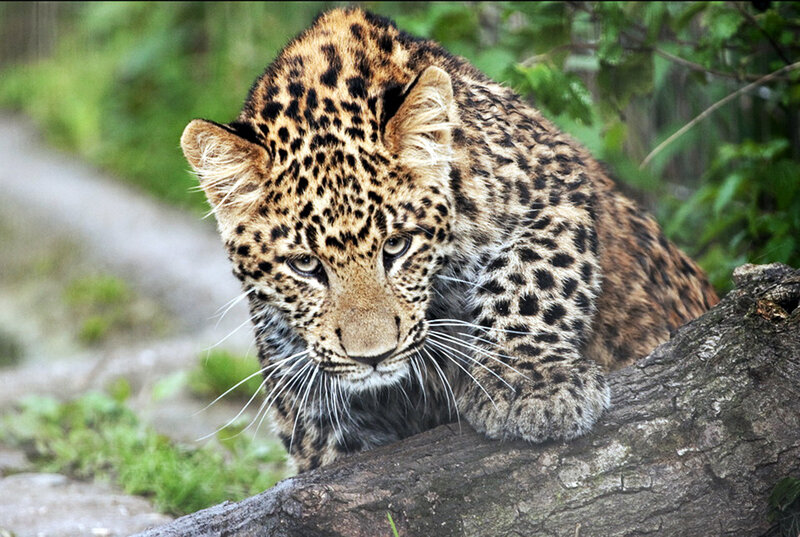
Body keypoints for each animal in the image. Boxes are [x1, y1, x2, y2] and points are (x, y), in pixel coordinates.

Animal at [180, 7, 718, 472]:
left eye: (397, 246)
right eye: (305, 266)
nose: (372, 356)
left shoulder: (560, 187)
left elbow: (532, 273)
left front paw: (531, 385)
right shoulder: (314, 408)